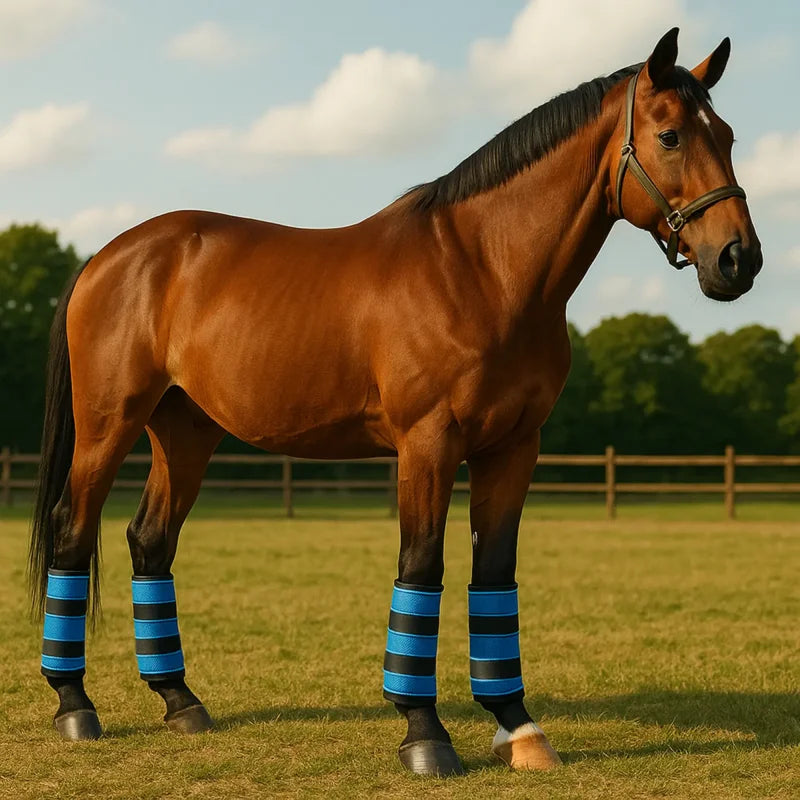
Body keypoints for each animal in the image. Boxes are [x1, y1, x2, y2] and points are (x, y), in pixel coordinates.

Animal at [29, 28, 761, 775]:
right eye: (670, 136)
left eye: (727, 135)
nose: (739, 260)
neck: (483, 269)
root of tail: (108, 257)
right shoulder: (428, 443)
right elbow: (422, 567)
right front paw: (424, 733)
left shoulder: (513, 448)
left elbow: (493, 575)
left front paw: (517, 727)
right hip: (107, 427)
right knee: (71, 530)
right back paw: (74, 705)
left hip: (186, 433)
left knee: (150, 541)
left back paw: (181, 702)